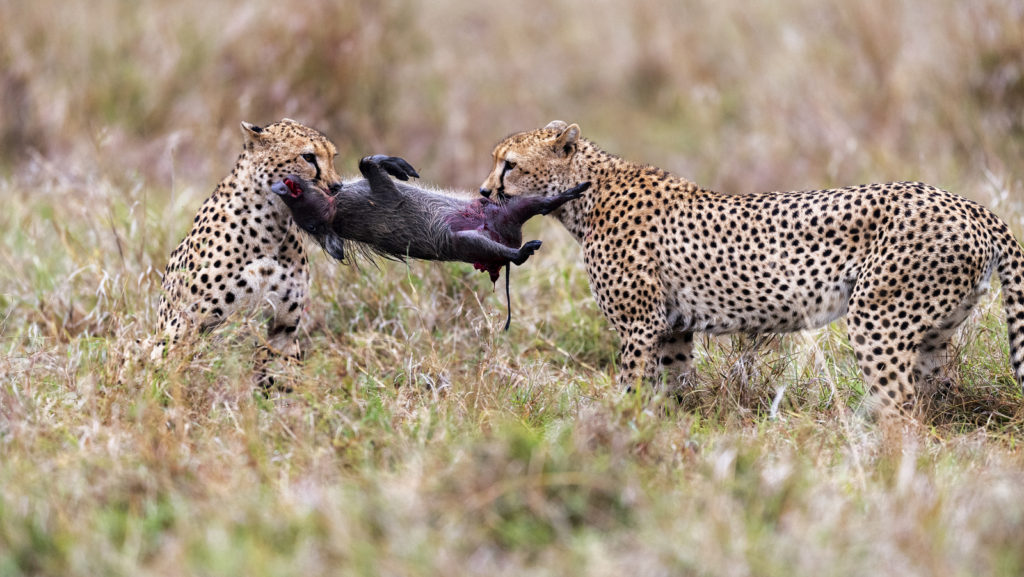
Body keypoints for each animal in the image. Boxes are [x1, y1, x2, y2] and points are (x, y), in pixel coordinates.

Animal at [153, 117, 342, 360]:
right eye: (308, 157)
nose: (337, 186)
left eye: (332, 157)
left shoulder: (284, 331)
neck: (272, 224)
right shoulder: (185, 326)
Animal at [479, 120, 1024, 420]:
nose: (484, 192)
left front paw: (617, 429)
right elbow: (673, 385)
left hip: (877, 319)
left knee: (900, 406)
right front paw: (672, 429)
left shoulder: (639, 324)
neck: (583, 196)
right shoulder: (671, 327)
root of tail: (969, 204)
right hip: (932, 332)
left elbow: (631, 385)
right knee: (933, 398)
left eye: (510, 165)